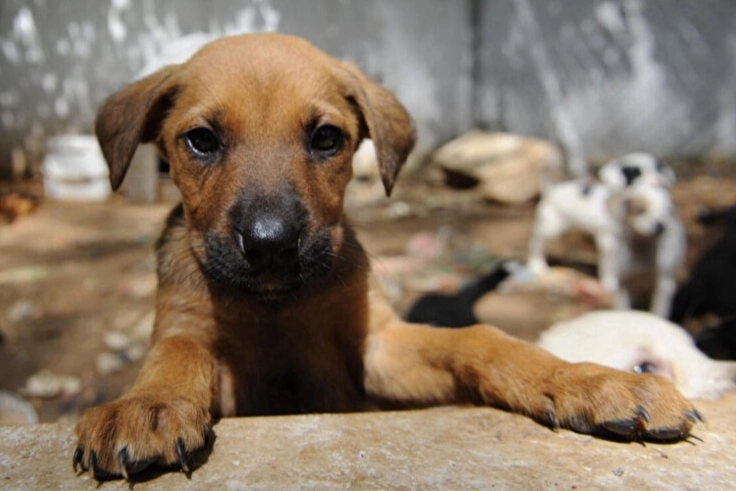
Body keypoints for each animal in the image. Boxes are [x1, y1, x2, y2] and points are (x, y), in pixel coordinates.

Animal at [528, 175, 684, 318]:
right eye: (640, 211)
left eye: (669, 211)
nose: (661, 226)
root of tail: (551, 190)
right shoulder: (608, 243)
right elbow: (610, 269)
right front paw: (609, 285)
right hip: (553, 228)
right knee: (536, 243)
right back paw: (537, 264)